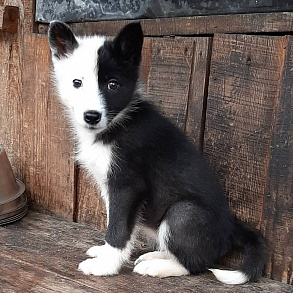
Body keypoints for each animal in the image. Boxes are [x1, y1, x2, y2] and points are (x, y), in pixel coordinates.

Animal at [47, 22, 264, 282]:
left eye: (112, 85)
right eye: (76, 83)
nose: (92, 116)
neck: (117, 125)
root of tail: (232, 227)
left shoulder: (127, 186)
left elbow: (118, 229)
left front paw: (106, 265)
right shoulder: (112, 189)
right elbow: (121, 224)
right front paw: (105, 253)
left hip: (184, 213)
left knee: (197, 264)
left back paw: (158, 267)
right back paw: (155, 256)